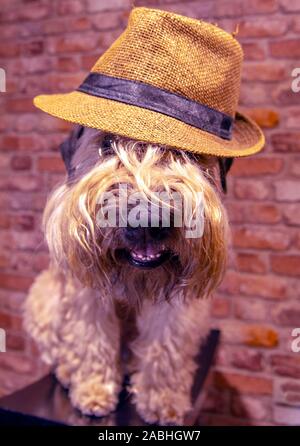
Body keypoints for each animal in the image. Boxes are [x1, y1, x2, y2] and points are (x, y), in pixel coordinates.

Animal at [24, 126, 230, 426]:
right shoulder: (87, 296)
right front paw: (94, 391)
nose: (147, 218)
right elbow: (90, 341)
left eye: (189, 154)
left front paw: (163, 401)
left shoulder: (175, 307)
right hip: (42, 299)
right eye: (107, 144)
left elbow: (166, 350)